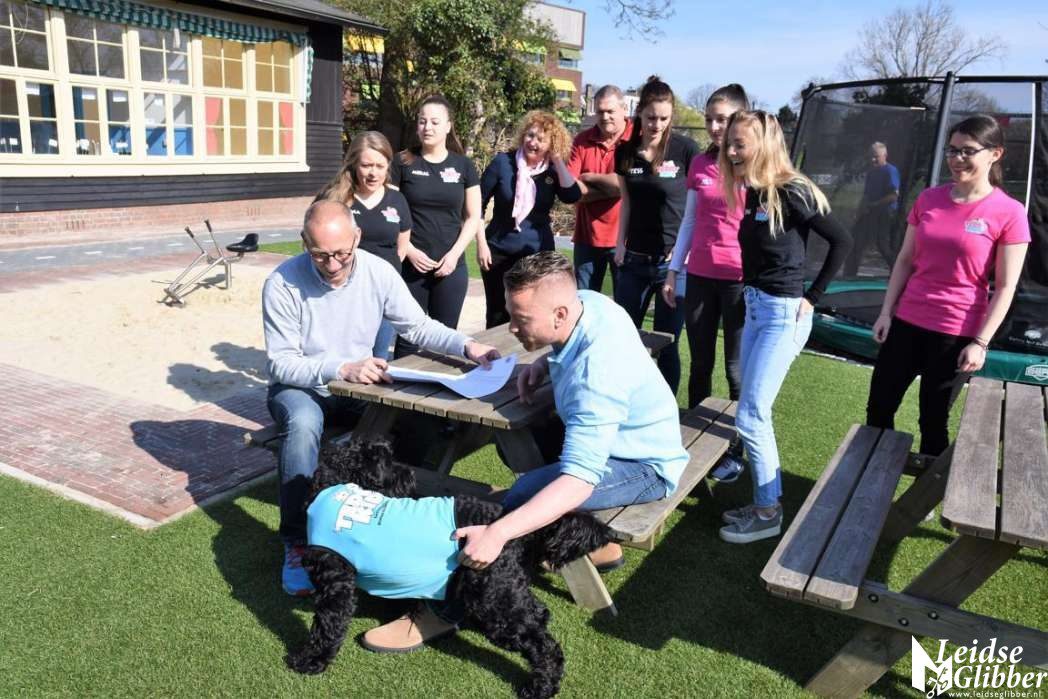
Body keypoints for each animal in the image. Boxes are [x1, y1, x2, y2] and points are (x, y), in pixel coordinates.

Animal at [285, 436, 611, 699]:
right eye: (384, 462)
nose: (410, 475)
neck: (333, 489)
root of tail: (507, 520)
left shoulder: (335, 585)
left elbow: (327, 626)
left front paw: (310, 661)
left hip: (492, 600)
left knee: (543, 644)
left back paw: (541, 686)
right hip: (500, 587)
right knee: (537, 614)